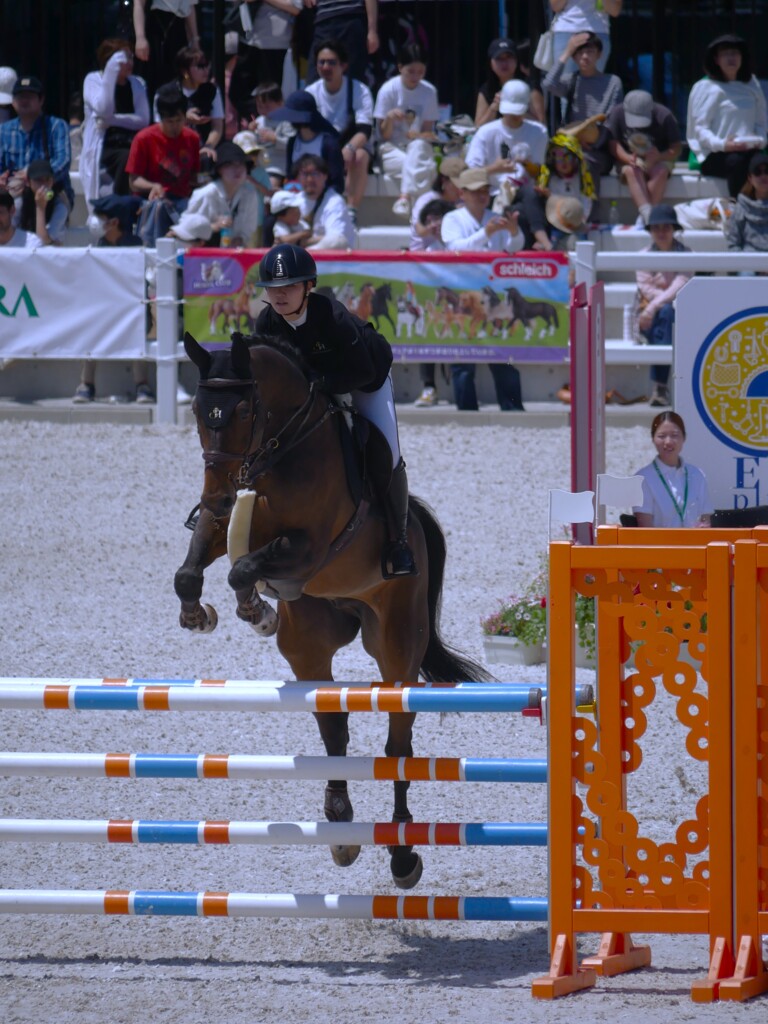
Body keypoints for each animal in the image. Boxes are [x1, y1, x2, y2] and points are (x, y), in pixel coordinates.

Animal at [176, 333, 493, 888]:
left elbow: (243, 570)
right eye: (197, 409)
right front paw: (201, 614)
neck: (280, 449)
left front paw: (257, 610)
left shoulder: (310, 548)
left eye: (243, 410)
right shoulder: (224, 524)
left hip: (396, 645)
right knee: (334, 729)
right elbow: (191, 571)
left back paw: (402, 855)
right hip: (310, 643)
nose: (214, 493)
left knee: (397, 748)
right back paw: (342, 829)